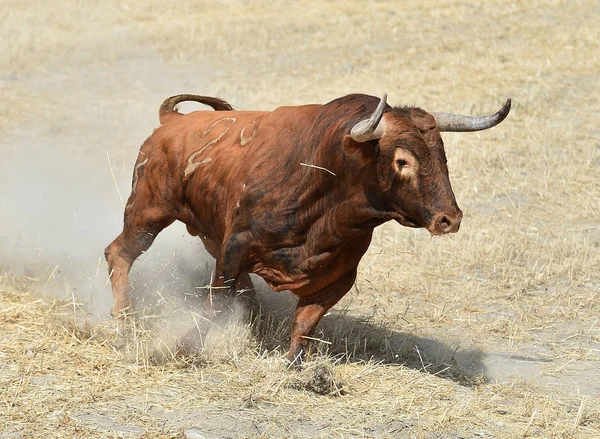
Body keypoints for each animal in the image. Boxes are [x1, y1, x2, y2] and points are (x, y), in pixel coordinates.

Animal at [105, 91, 508, 362]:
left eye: (442, 154)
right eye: (402, 160)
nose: (449, 219)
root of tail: (171, 122)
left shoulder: (339, 275)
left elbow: (305, 322)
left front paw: (297, 366)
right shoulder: (235, 248)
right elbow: (216, 301)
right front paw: (184, 347)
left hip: (205, 230)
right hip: (148, 211)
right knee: (118, 254)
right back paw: (124, 324)